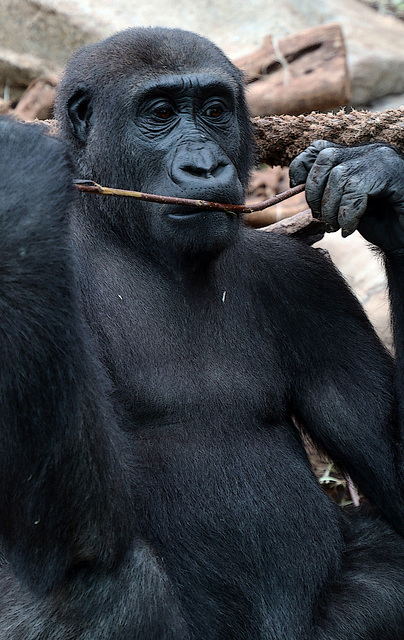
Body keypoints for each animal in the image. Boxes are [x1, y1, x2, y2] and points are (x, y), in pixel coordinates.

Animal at [0, 25, 404, 640]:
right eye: (161, 114)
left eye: (215, 111)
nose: (205, 168)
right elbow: (63, 528)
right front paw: (17, 191)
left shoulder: (308, 285)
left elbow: (394, 473)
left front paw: (386, 188)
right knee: (104, 579)